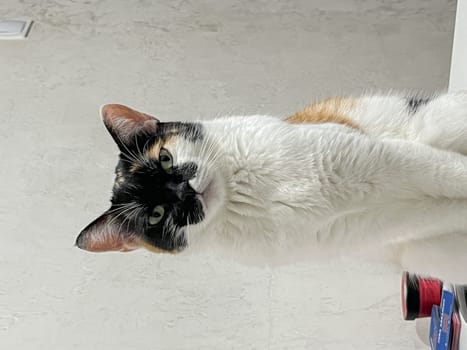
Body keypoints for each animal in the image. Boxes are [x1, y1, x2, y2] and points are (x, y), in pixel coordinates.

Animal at [76, 91, 467, 284]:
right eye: (156, 215)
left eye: (166, 159)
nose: (185, 192)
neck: (246, 190)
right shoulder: (377, 223)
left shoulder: (368, 154)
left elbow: (443, 169)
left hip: (438, 119)